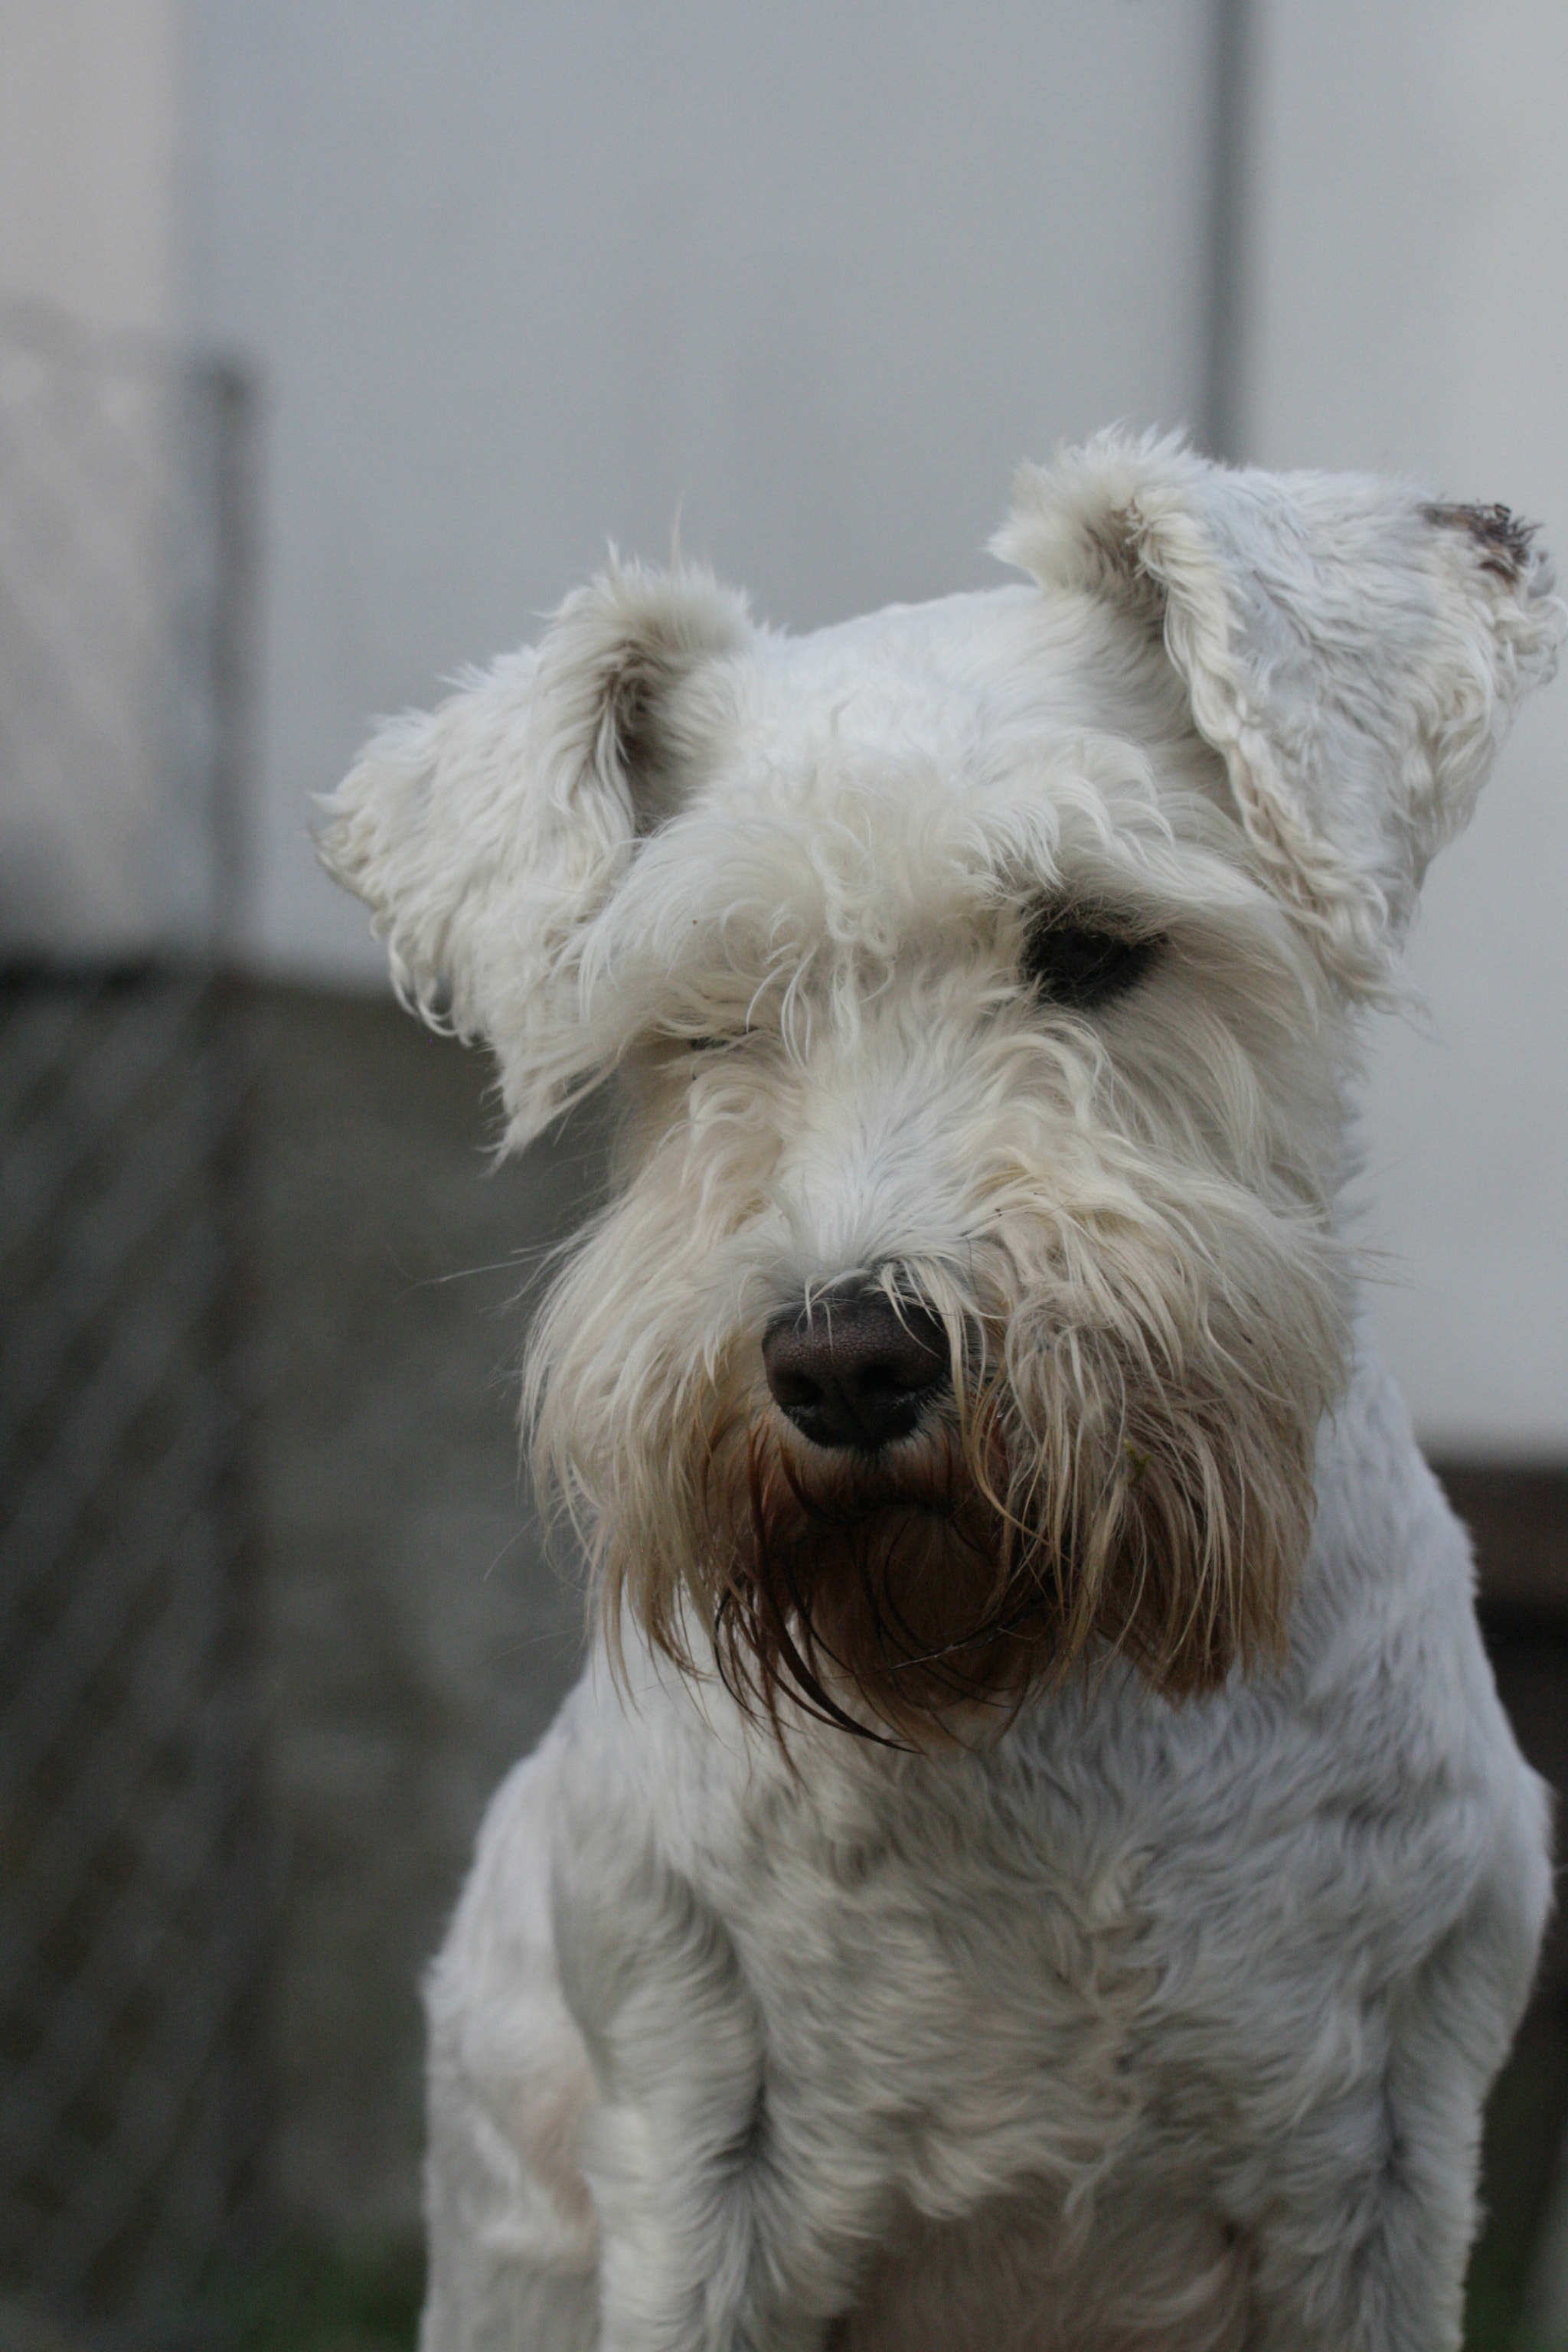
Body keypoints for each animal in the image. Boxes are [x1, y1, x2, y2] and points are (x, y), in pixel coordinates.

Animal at [324, 433, 1560, 2342]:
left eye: (1094, 944)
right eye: (705, 1022)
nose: (846, 1360)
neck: (1041, 1674)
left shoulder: (1385, 2167)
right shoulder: (692, 2154)